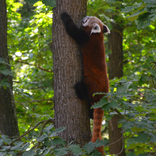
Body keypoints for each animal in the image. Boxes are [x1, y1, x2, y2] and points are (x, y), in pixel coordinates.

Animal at [60, 12, 109, 155]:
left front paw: (65, 16)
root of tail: (103, 96)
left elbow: (72, 31)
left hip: (91, 83)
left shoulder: (84, 38)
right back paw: (90, 114)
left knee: (84, 87)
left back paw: (78, 89)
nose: (84, 17)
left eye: (87, 19)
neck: (98, 35)